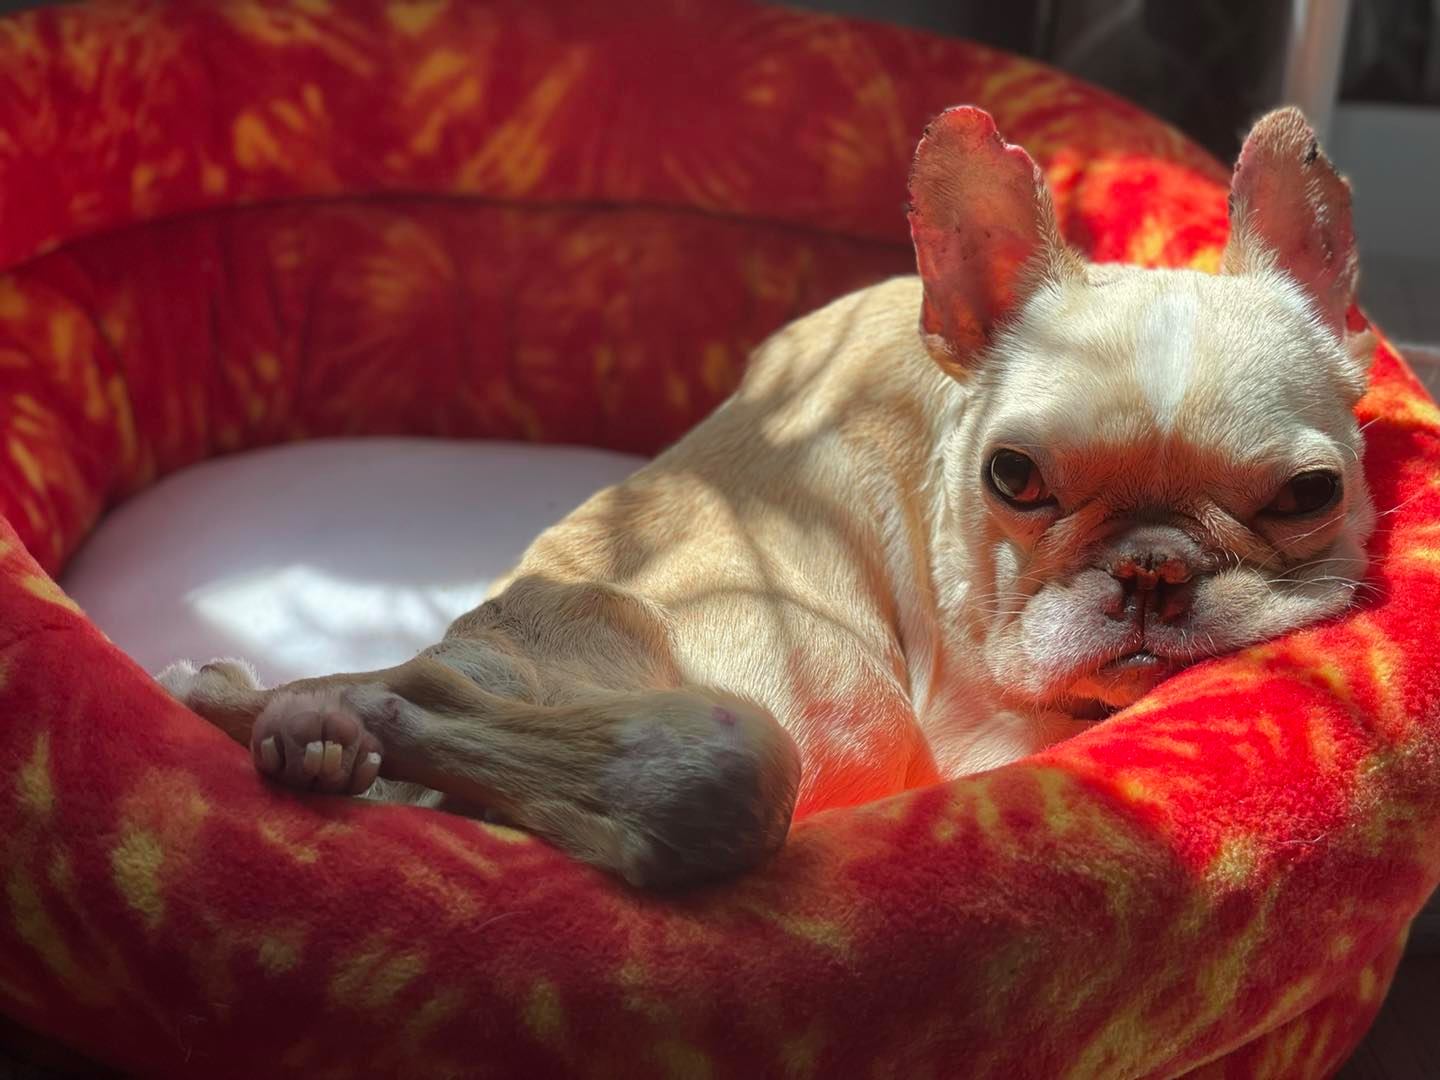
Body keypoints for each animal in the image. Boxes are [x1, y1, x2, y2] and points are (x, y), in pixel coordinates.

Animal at [154, 105, 1370, 892]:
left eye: (1310, 493)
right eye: (1015, 480)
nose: (1152, 565)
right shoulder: (974, 731)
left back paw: (291, 728)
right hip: (720, 738)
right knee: (660, 775)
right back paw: (308, 704)